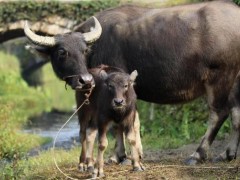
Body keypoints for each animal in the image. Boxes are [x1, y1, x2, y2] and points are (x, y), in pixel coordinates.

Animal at [24, 0, 240, 165]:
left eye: (85, 50)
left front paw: (118, 156)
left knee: (219, 113)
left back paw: (197, 155)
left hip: (220, 78)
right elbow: (134, 121)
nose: (85, 80)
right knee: (236, 112)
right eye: (62, 52)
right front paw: (137, 153)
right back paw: (228, 153)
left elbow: (119, 122)